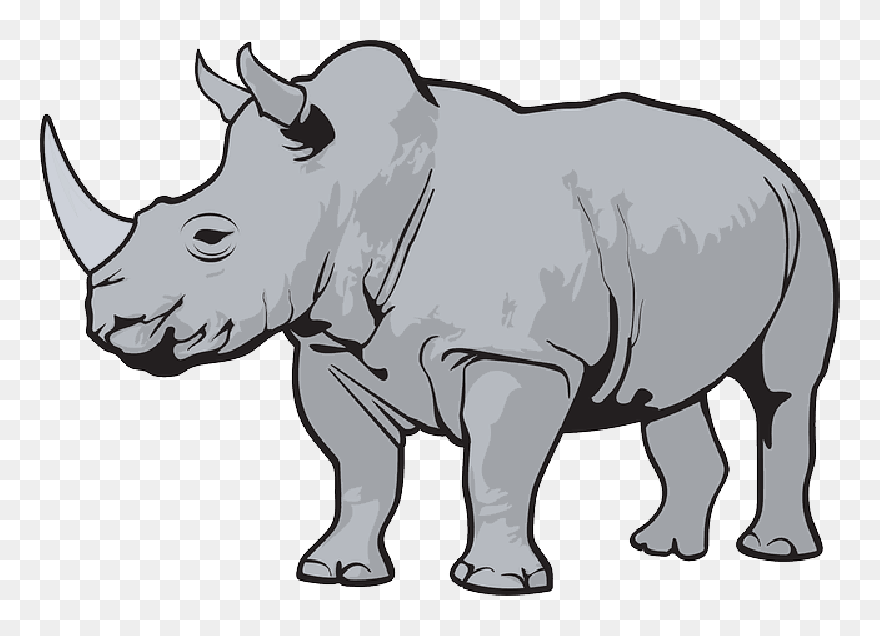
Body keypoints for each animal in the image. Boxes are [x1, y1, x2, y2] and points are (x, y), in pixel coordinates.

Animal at [41, 41, 838, 595]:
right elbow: (361, 469)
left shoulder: (518, 353)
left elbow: (495, 469)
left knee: (783, 388)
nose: (108, 324)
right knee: (666, 392)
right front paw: (337, 573)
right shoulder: (332, 348)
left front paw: (497, 586)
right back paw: (663, 550)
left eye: (210, 237)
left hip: (804, 220)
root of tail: (765, 156)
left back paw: (773, 553)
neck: (350, 182)